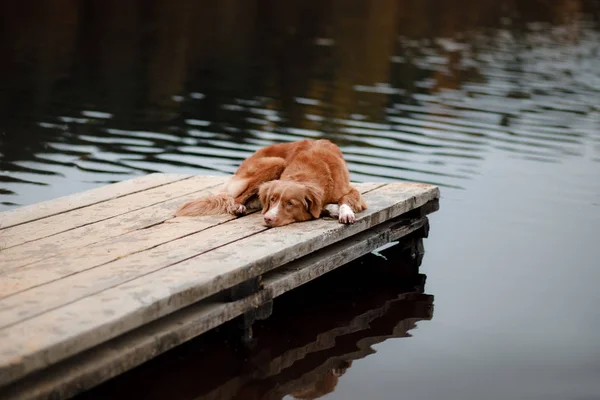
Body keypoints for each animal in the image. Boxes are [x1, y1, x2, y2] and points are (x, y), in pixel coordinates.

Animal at [176, 139, 368, 227]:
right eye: (272, 199)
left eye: (290, 203)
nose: (268, 218)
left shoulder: (352, 191)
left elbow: (345, 200)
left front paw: (345, 213)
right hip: (275, 162)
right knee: (235, 199)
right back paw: (238, 207)